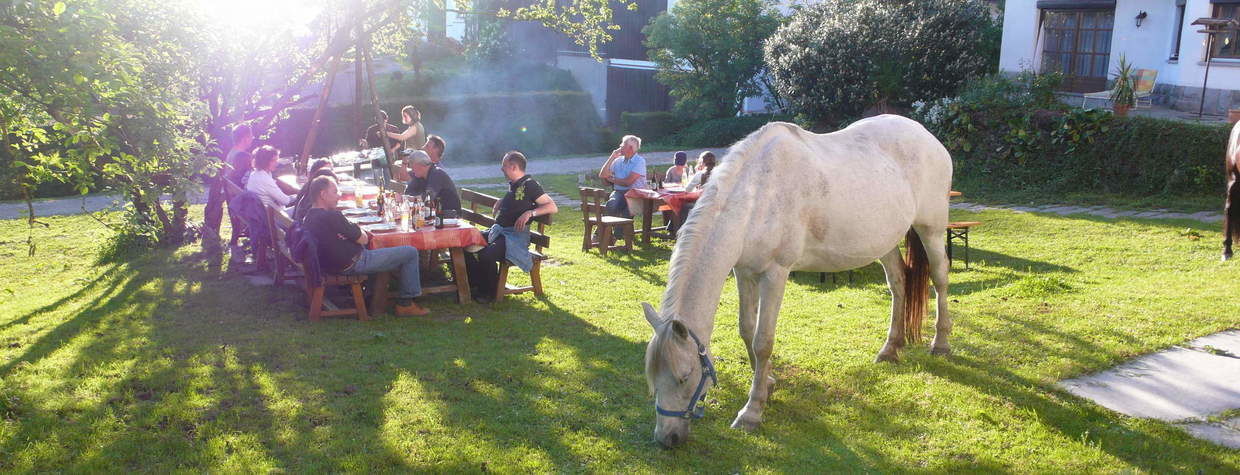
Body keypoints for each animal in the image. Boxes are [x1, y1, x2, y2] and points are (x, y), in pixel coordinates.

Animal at [644, 116, 952, 451]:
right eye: (652, 378)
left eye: (684, 376)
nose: (666, 438)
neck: (756, 198)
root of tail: (926, 135)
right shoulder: (744, 272)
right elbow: (746, 329)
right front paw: (767, 383)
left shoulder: (775, 274)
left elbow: (763, 341)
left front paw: (752, 411)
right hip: (885, 241)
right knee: (898, 283)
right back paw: (890, 349)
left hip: (931, 229)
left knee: (940, 278)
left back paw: (941, 344)